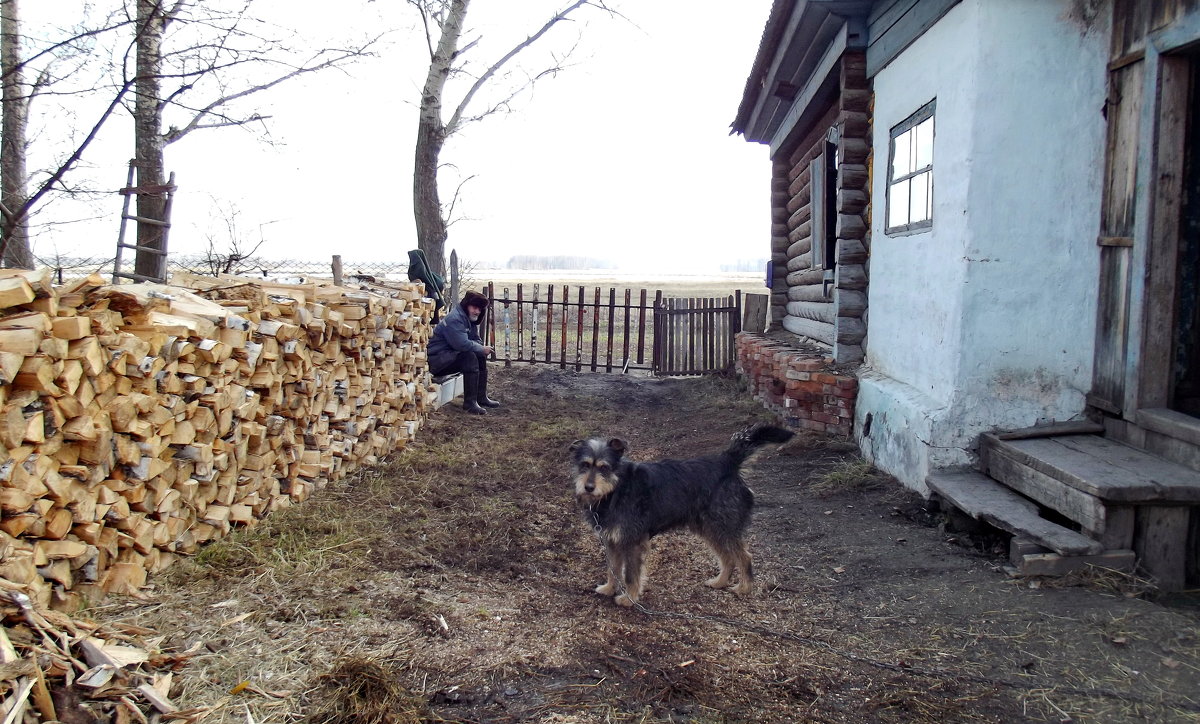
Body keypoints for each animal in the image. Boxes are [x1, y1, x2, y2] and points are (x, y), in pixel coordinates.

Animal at [568, 422, 792, 609]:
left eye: (604, 467)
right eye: (585, 465)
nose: (588, 487)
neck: (616, 489)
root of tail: (727, 462)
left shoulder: (632, 542)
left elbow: (631, 575)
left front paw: (629, 599)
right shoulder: (612, 541)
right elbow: (612, 568)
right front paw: (608, 588)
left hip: (724, 527)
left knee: (744, 556)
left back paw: (744, 588)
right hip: (709, 529)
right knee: (727, 557)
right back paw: (719, 582)